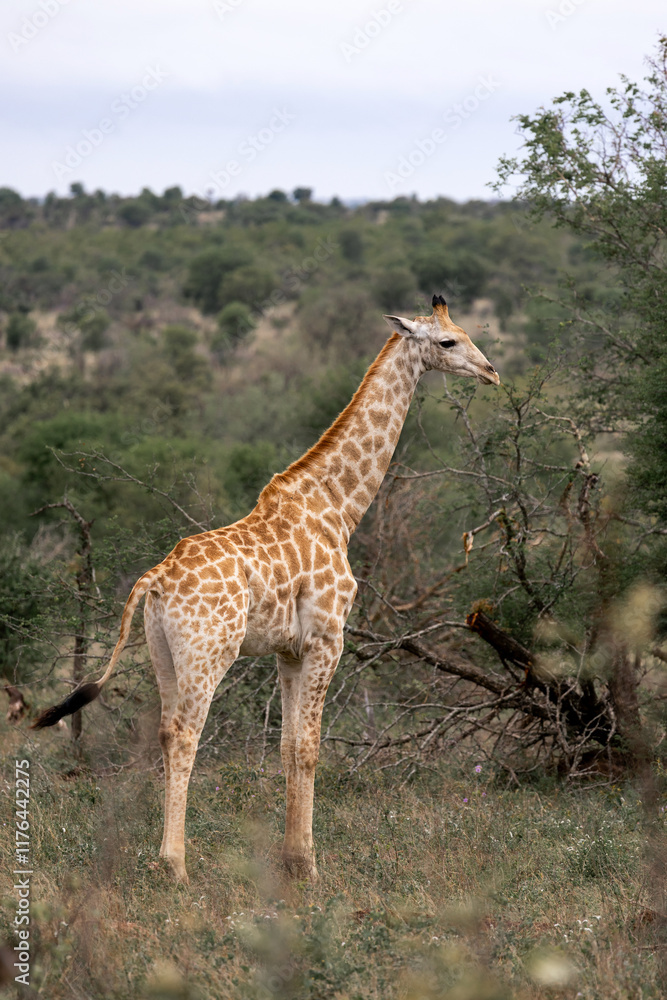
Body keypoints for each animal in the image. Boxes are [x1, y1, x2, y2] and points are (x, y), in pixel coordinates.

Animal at [32, 294, 499, 882]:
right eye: (447, 341)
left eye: (464, 333)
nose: (491, 372)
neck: (340, 507)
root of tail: (153, 581)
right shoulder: (327, 638)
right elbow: (310, 747)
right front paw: (311, 868)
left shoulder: (288, 649)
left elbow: (286, 746)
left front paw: (292, 860)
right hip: (209, 652)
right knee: (185, 734)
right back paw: (175, 865)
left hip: (162, 652)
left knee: (162, 731)